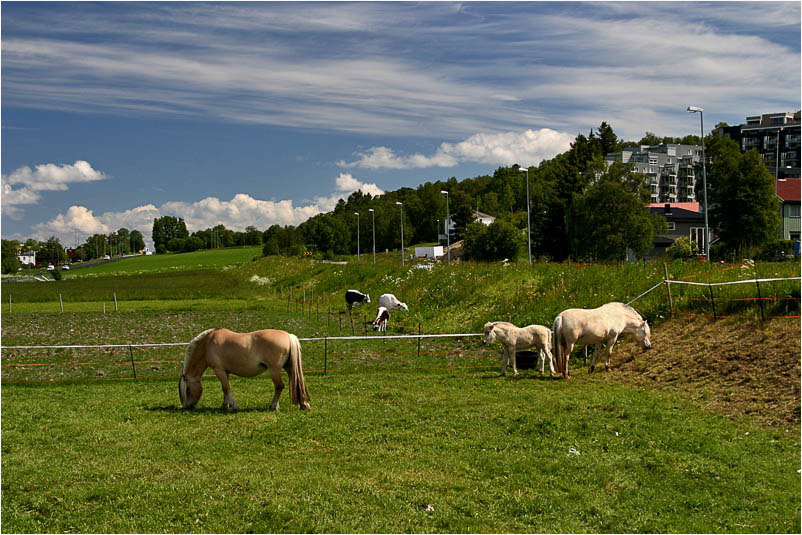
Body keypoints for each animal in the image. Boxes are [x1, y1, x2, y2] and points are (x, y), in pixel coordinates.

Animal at [178, 328, 310, 412]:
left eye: (188, 389)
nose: (189, 407)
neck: (208, 343)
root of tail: (289, 336)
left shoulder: (219, 370)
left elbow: (226, 388)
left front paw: (233, 406)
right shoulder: (225, 372)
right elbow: (225, 389)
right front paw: (225, 405)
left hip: (274, 370)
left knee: (279, 386)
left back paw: (273, 406)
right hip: (289, 368)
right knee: (298, 383)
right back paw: (304, 405)